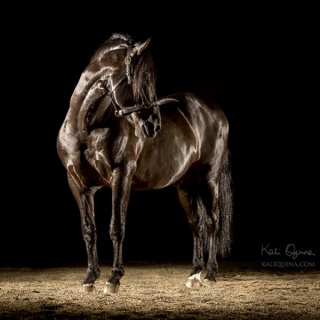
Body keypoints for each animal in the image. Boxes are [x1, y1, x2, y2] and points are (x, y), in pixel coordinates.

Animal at [57, 33, 232, 296]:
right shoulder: (78, 185)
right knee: (197, 225)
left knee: (212, 221)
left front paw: (114, 278)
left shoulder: (121, 176)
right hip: (186, 187)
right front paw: (90, 278)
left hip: (209, 179)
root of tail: (214, 109)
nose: (153, 125)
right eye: (146, 78)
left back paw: (210, 274)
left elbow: (117, 227)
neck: (86, 129)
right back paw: (194, 274)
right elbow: (89, 230)